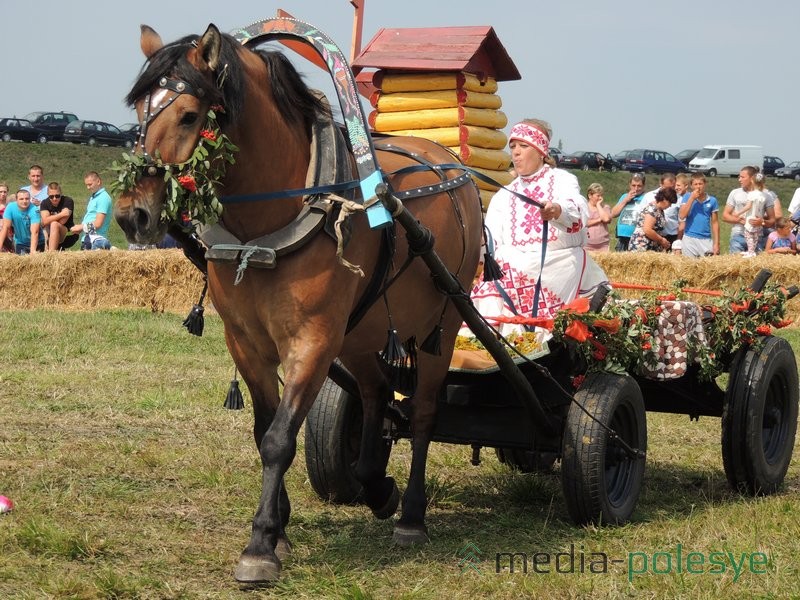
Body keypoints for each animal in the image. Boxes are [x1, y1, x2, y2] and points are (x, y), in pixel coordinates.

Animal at [115, 25, 482, 584]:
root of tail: (454, 167)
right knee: (376, 393)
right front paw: (281, 528)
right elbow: (264, 429)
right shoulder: (246, 342)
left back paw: (412, 514)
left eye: (190, 116)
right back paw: (375, 484)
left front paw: (261, 544)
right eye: (140, 113)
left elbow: (279, 439)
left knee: (421, 414)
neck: (268, 224)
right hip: (361, 334)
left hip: (440, 324)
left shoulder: (312, 341)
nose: (131, 215)